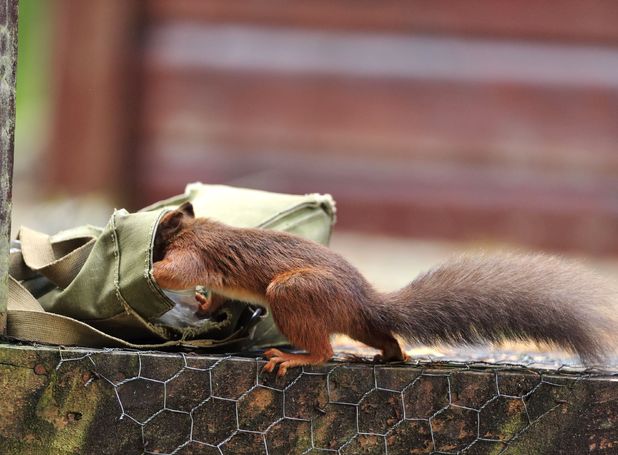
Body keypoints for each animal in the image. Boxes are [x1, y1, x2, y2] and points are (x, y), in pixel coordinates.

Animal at [152, 202, 617, 376]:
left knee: (324, 351)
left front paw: (153, 269)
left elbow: (176, 272)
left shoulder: (196, 251)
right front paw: (203, 302)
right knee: (382, 337)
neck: (192, 226)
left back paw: (294, 357)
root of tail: (366, 301)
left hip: (294, 293)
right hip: (353, 322)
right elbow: (218, 295)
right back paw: (389, 354)